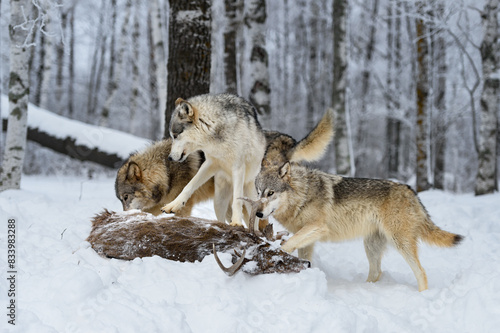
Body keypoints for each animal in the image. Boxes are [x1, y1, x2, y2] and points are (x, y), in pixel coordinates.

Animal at [162, 92, 334, 228]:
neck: (218, 132)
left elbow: (237, 200)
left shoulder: (238, 167)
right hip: (219, 202)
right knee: (223, 218)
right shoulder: (211, 163)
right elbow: (189, 186)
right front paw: (172, 205)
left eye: (175, 135)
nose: (170, 157)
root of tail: (290, 142)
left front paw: (236, 222)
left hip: (256, 203)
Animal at [256, 161, 462, 290]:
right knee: (377, 271)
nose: (258, 213)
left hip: (400, 243)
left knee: (421, 272)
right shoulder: (308, 239)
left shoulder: (318, 227)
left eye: (270, 193)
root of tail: (412, 192)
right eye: (258, 192)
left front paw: (275, 253)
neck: (303, 194)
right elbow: (301, 253)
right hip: (371, 246)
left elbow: (288, 243)